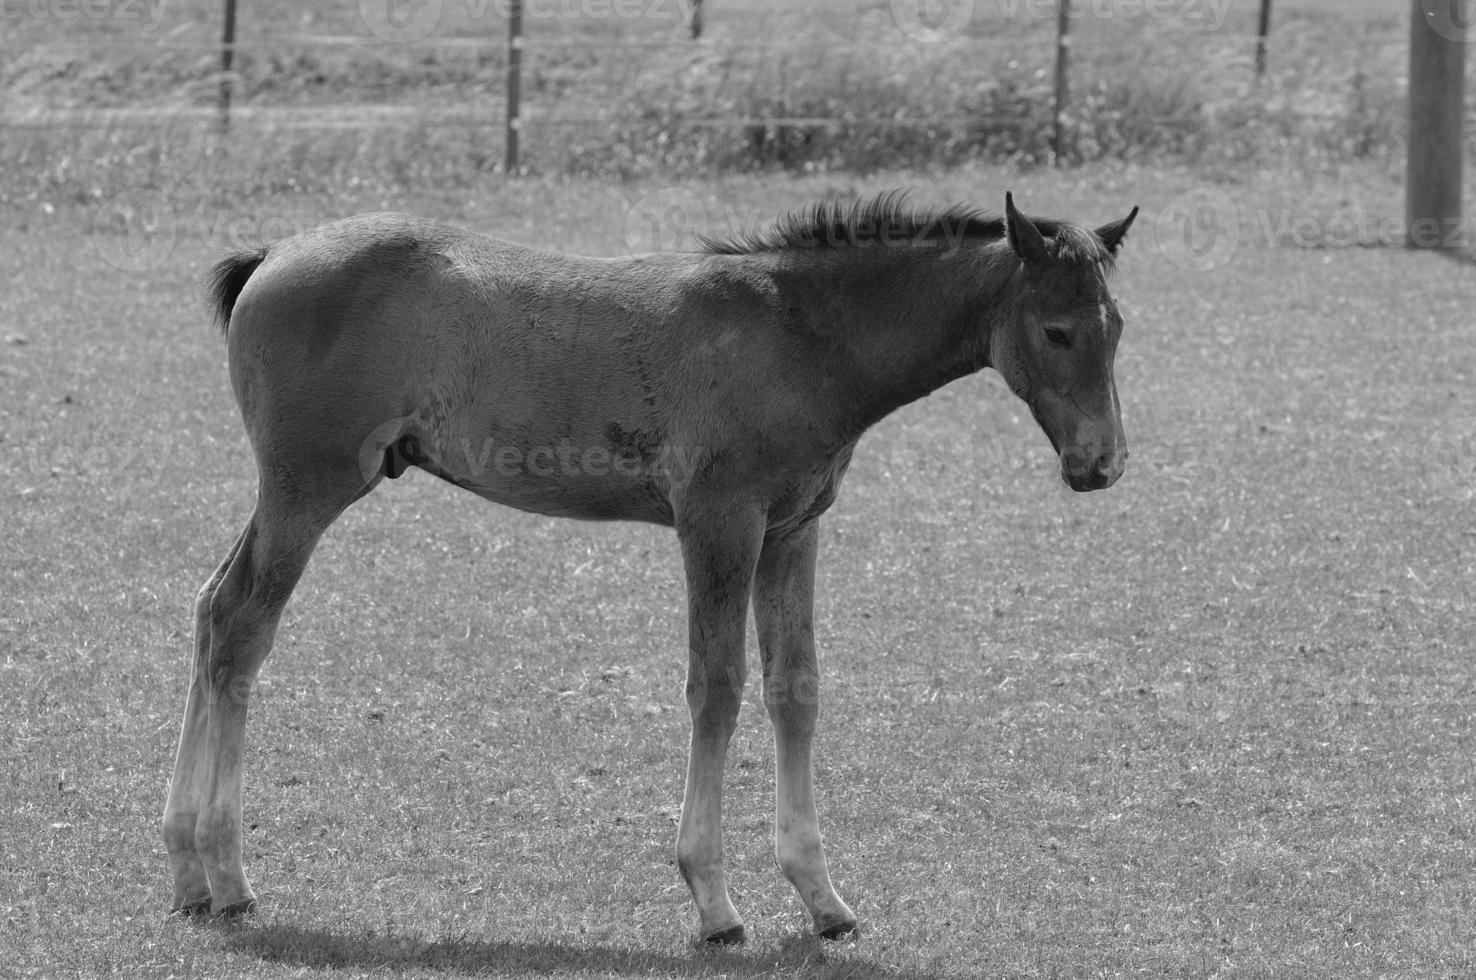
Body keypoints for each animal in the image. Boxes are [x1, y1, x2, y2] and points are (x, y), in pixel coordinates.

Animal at [169, 188, 1139, 944]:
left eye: (1118, 327)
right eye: (1056, 331)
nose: (1101, 465)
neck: (799, 338)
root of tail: (271, 256)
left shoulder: (792, 532)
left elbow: (796, 688)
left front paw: (822, 898)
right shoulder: (718, 525)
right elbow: (718, 686)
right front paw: (714, 902)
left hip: (291, 493)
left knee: (212, 607)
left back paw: (185, 870)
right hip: (309, 487)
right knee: (243, 628)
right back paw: (229, 875)